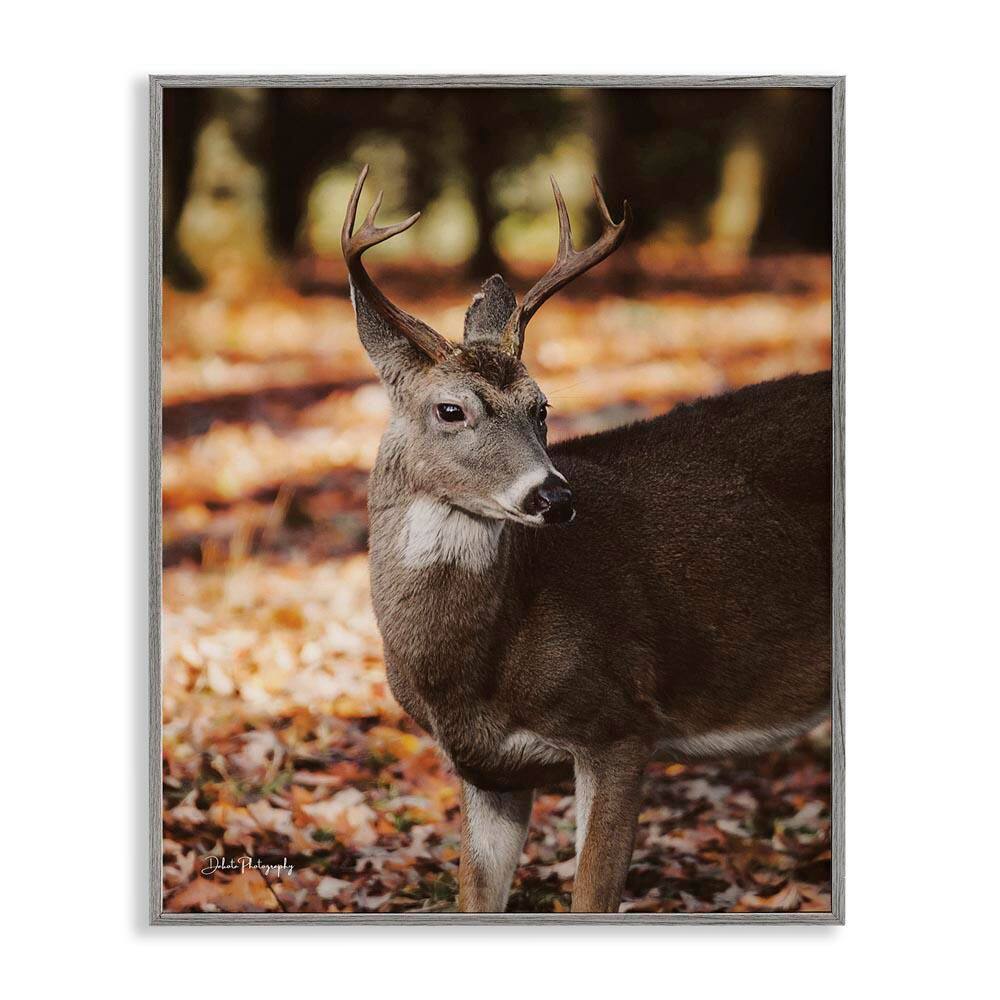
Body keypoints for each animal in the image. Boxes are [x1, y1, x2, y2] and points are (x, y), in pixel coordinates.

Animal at [341, 165, 832, 913]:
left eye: (542, 407)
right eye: (451, 409)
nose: (555, 497)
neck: (471, 674)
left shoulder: (621, 722)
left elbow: (592, 896)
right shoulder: (487, 771)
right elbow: (475, 898)